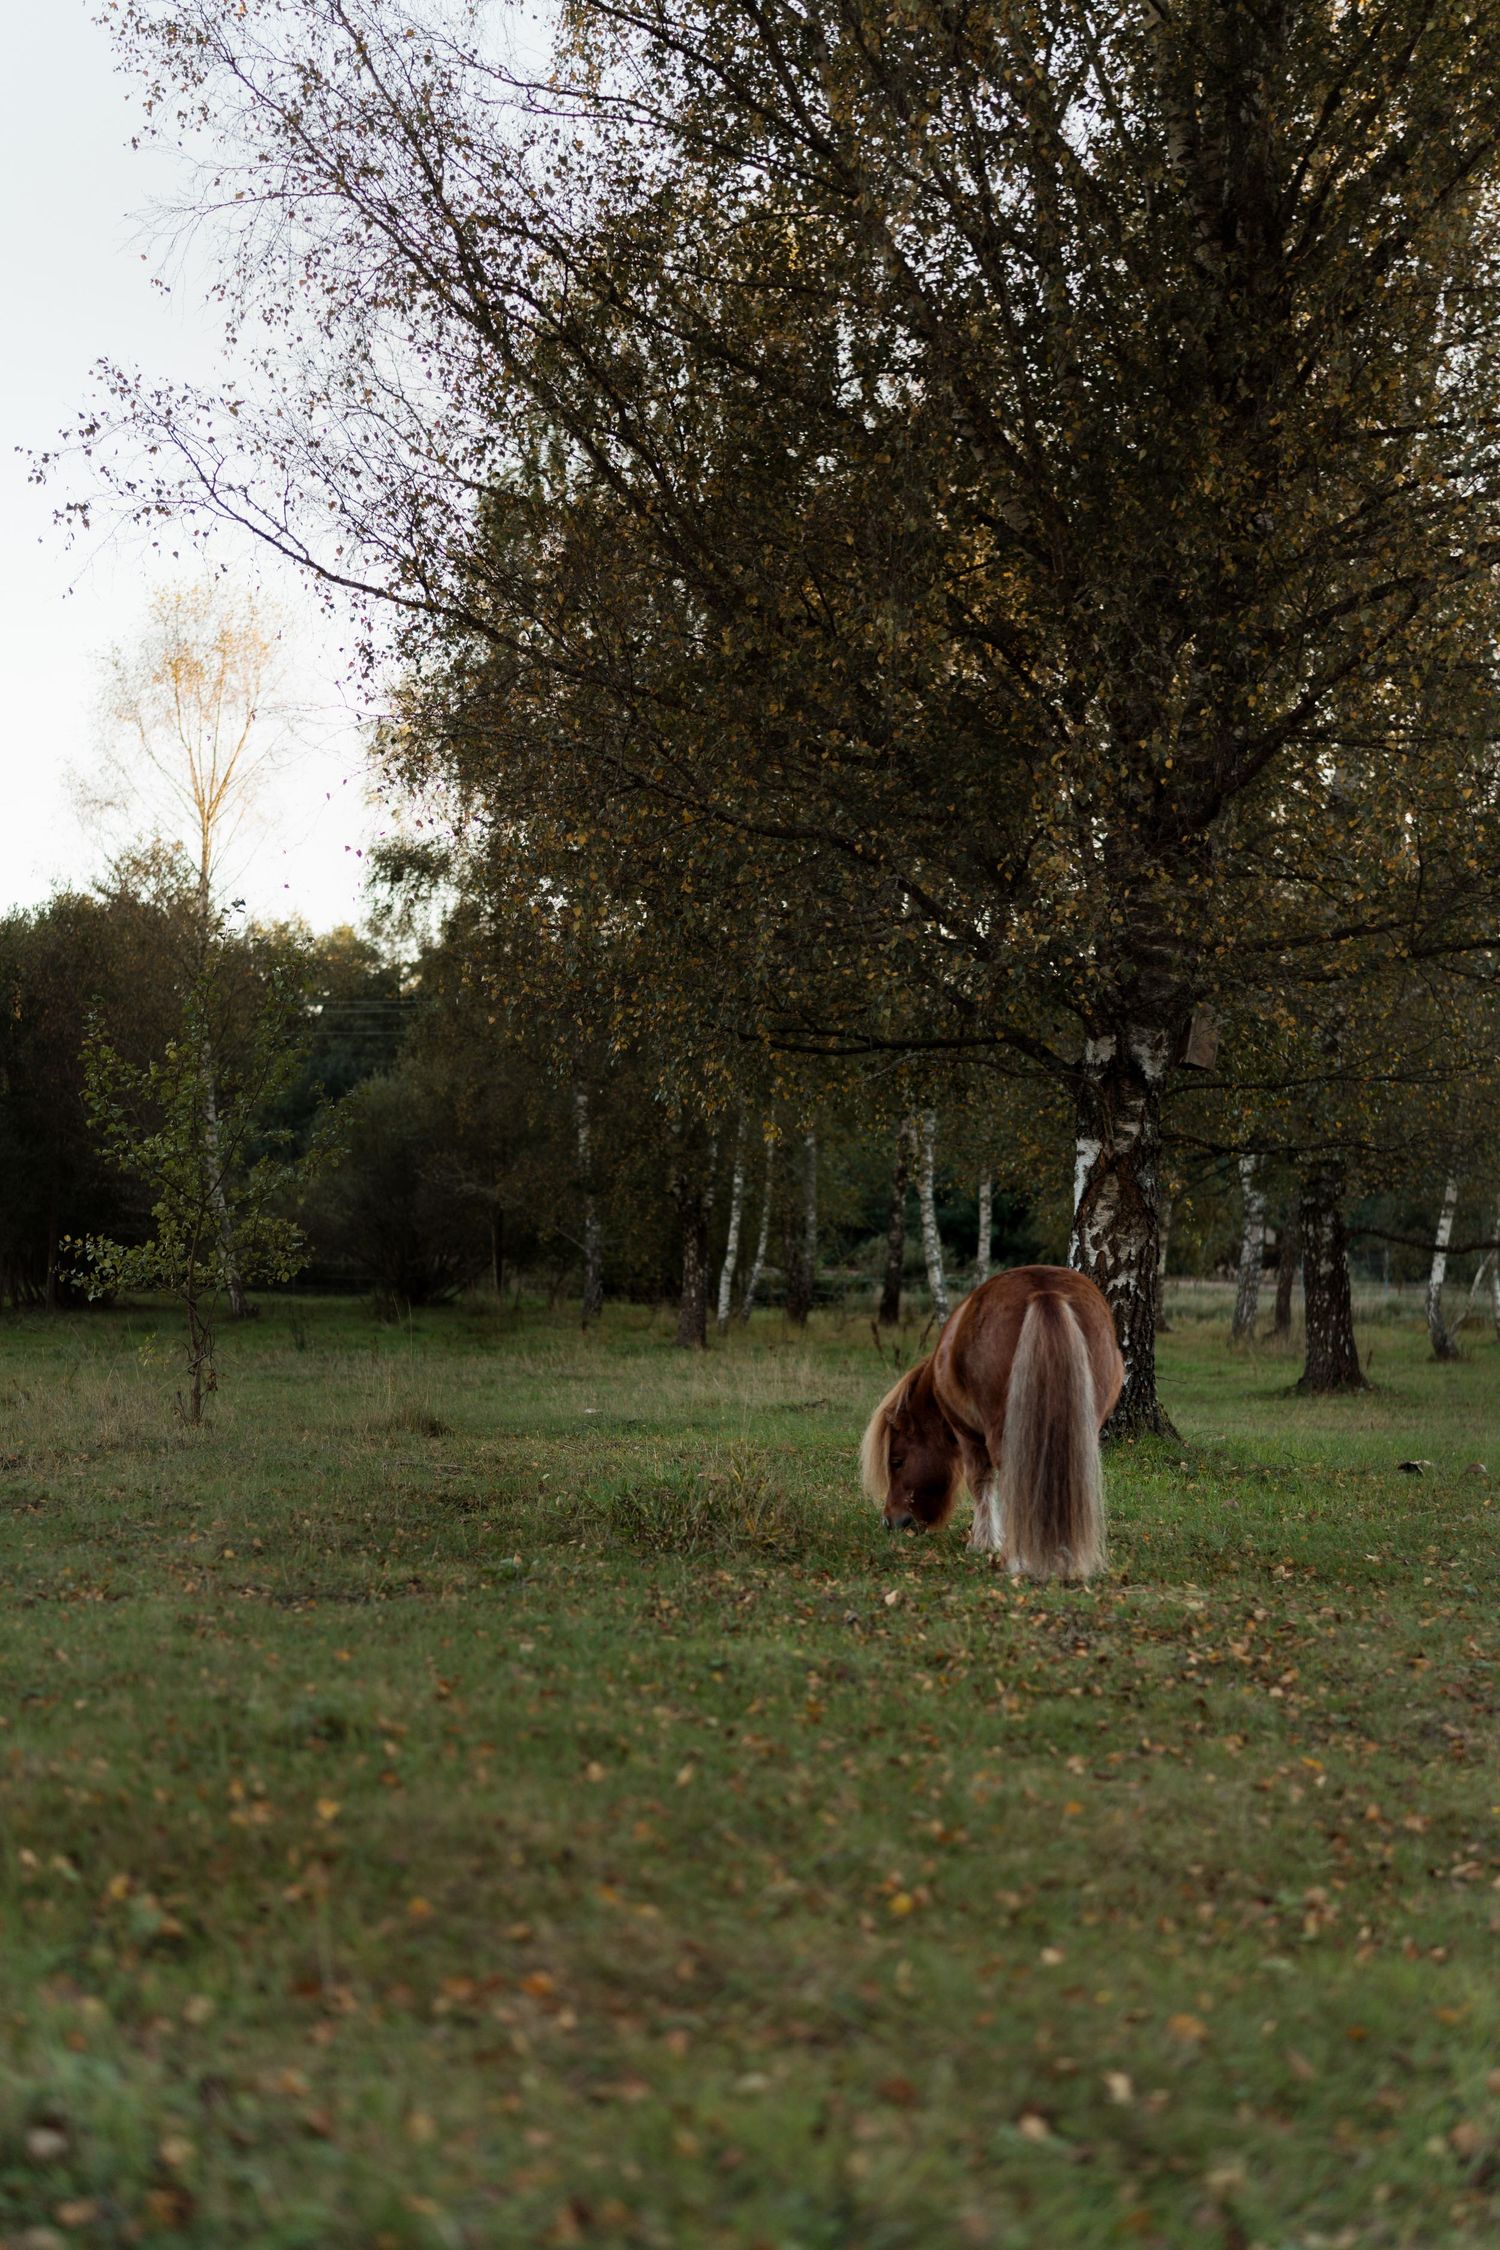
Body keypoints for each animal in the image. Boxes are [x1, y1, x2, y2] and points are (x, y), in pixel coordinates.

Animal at [859, 1266, 1124, 1580]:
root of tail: (1045, 1289)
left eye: (897, 1462)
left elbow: (980, 1482)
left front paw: (982, 1543)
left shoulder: (967, 1435)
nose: (890, 1521)